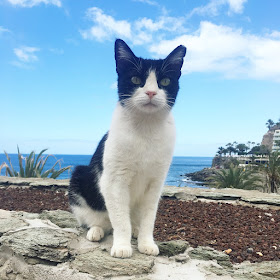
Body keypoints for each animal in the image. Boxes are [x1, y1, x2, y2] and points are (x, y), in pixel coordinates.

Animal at [68, 38, 186, 258]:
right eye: (135, 79)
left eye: (165, 82)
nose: (151, 92)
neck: (146, 129)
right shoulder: (115, 181)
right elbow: (121, 220)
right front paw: (122, 246)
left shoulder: (156, 183)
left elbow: (149, 217)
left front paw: (146, 242)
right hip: (80, 178)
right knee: (99, 220)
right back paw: (97, 230)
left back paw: (136, 231)